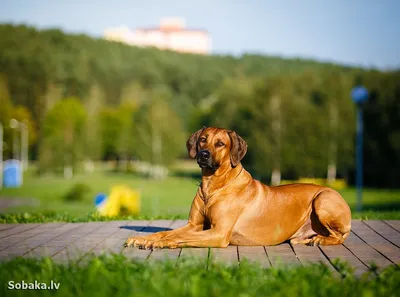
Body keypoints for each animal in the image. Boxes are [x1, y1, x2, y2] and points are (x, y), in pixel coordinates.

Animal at [124, 126, 350, 249]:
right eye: (203, 140)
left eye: (220, 144)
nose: (203, 154)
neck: (213, 187)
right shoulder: (194, 225)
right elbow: (168, 232)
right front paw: (142, 238)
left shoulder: (219, 233)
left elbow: (180, 237)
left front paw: (158, 243)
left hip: (323, 198)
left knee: (339, 237)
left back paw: (320, 239)